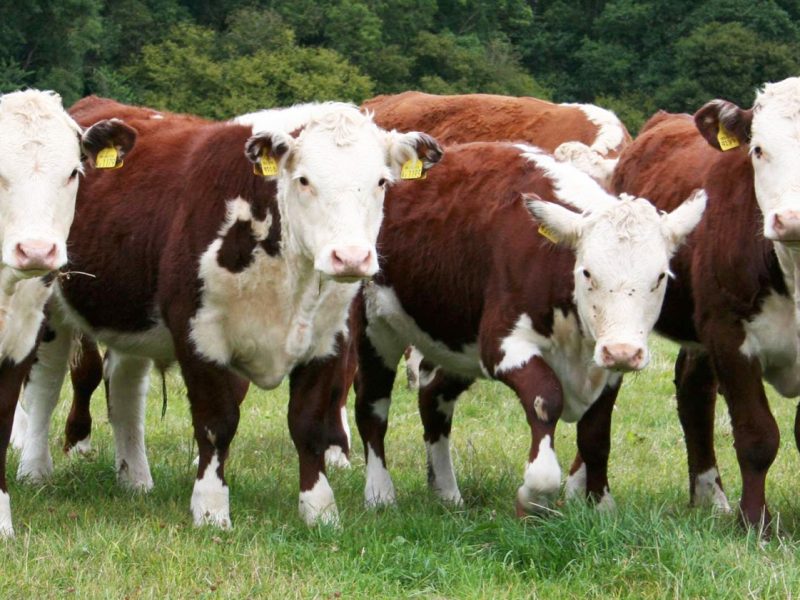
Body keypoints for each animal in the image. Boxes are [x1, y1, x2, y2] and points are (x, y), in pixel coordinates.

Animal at [12, 96, 442, 530]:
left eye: (381, 182)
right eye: (304, 180)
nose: (351, 257)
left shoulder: (329, 339)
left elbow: (309, 425)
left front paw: (320, 511)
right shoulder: (198, 333)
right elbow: (216, 423)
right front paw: (211, 510)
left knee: (125, 387)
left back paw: (134, 478)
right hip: (48, 304)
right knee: (46, 384)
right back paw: (35, 469)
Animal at [344, 140, 705, 515]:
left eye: (660, 277)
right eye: (587, 273)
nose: (623, 351)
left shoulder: (605, 366)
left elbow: (595, 435)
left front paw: (602, 506)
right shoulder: (503, 345)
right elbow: (546, 400)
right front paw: (533, 496)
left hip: (457, 344)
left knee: (434, 398)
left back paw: (446, 491)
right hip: (374, 328)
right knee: (372, 407)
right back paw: (380, 494)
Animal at [594, 76, 800, 532]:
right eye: (758, 149)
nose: (792, 219)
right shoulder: (728, 333)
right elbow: (757, 435)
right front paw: (755, 523)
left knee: (693, 392)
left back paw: (709, 496)